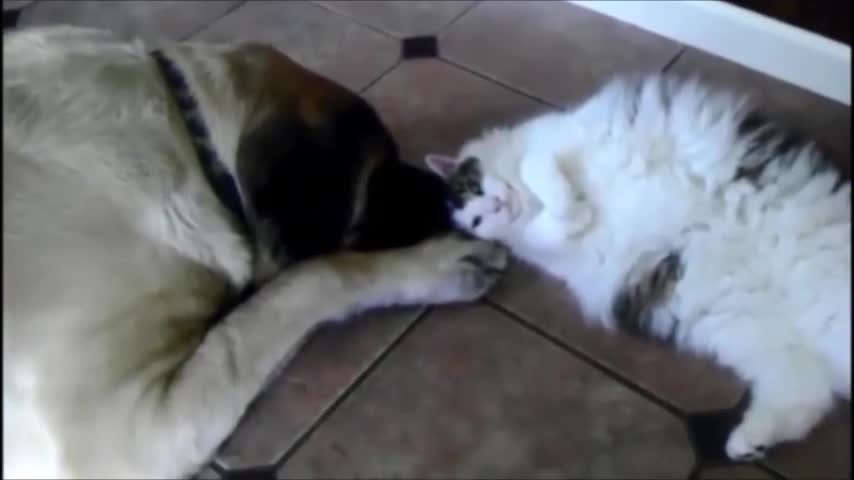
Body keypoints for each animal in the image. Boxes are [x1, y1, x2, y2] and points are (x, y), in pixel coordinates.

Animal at [1, 27, 508, 480]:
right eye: (382, 172)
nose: (448, 194)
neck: (189, 139)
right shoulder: (126, 433)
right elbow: (308, 284)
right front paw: (437, 263)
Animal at [424, 75, 852, 462]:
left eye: (475, 187)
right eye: (476, 220)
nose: (496, 207)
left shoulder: (560, 135)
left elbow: (536, 162)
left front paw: (553, 185)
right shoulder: (552, 249)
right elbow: (553, 225)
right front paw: (574, 211)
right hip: (740, 322)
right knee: (804, 391)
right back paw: (749, 442)